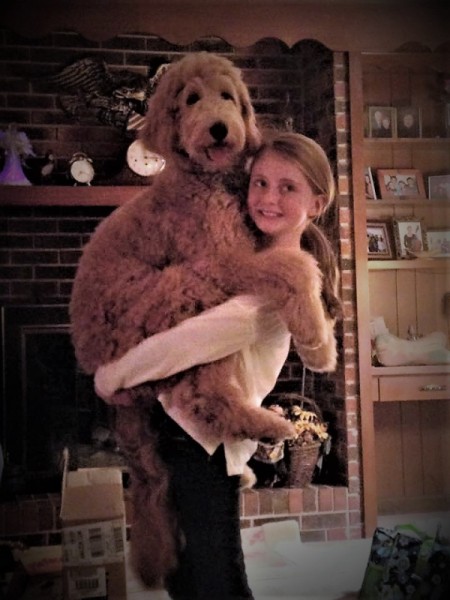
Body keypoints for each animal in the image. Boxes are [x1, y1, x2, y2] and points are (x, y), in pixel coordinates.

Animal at [70, 50, 336, 584]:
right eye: (190, 99)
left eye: (228, 96)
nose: (218, 128)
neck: (208, 180)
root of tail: (88, 355)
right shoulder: (224, 261)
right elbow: (296, 264)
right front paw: (319, 343)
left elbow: (296, 262)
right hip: (176, 294)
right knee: (198, 392)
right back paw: (265, 425)